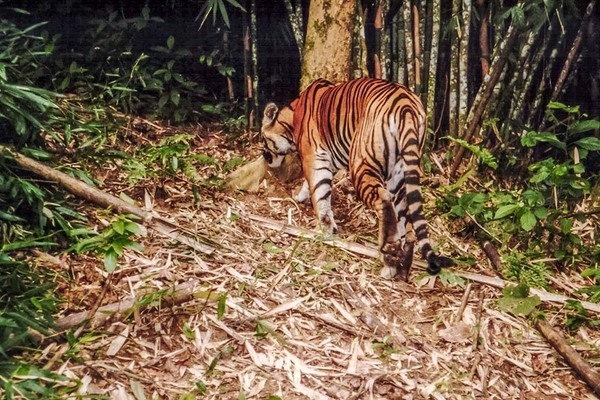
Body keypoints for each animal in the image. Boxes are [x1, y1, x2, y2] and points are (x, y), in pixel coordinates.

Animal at [260, 76, 452, 280]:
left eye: (263, 138)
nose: (265, 156)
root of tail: (406, 105)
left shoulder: (313, 156)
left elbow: (319, 192)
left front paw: (324, 229)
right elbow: (312, 186)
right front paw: (301, 197)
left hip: (361, 162)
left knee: (383, 201)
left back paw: (388, 255)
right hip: (400, 174)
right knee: (406, 222)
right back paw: (400, 269)